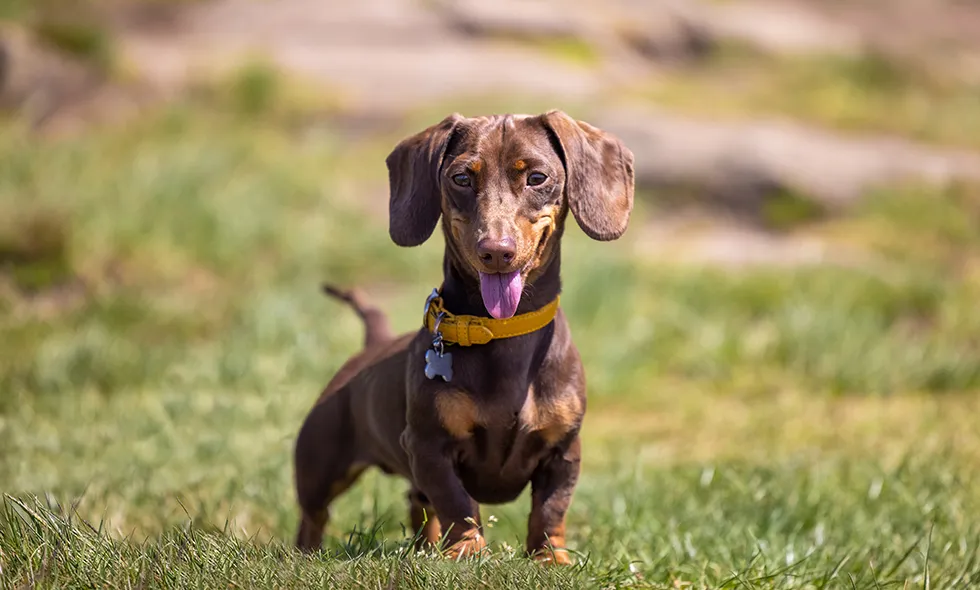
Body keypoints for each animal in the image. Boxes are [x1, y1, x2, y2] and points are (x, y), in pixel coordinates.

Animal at [292, 111, 636, 564]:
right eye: (461, 178)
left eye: (537, 177)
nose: (496, 251)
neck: (503, 330)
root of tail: (372, 345)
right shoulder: (428, 446)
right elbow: (458, 502)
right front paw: (468, 551)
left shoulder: (564, 450)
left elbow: (551, 508)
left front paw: (550, 558)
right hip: (319, 464)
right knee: (314, 516)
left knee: (418, 506)